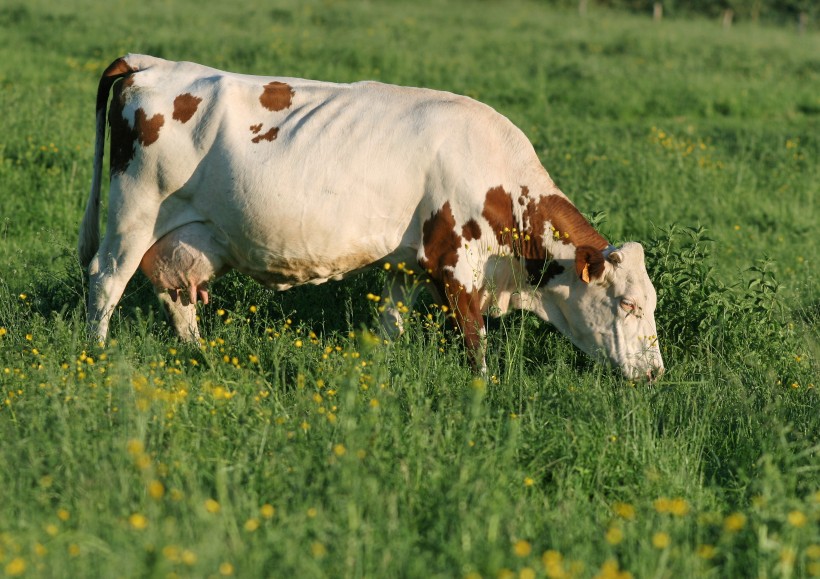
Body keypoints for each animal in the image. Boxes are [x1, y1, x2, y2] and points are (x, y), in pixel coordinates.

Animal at [78, 54, 668, 380]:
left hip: (178, 238)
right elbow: (474, 341)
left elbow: (390, 327)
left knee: (176, 296)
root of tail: (149, 62)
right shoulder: (456, 264)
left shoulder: (406, 264)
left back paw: (200, 355)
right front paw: (484, 392)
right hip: (133, 214)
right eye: (629, 304)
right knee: (105, 281)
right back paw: (94, 356)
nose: (656, 373)